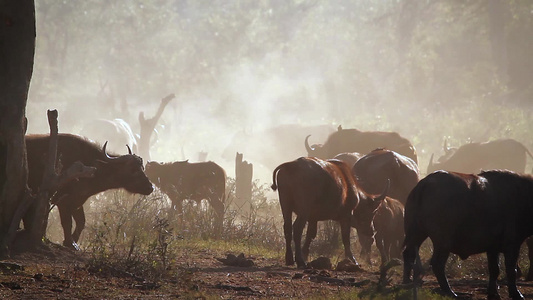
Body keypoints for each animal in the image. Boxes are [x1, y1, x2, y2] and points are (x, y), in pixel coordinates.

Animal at [25, 134, 154, 248]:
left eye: (142, 168)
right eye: (133, 169)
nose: (150, 187)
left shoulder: (77, 201)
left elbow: (81, 222)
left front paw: (73, 241)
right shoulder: (63, 202)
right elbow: (67, 222)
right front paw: (70, 243)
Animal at [402, 170, 532, 298]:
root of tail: (424, 184)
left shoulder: (493, 248)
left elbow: (494, 269)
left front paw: (493, 293)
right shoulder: (512, 245)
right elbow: (511, 270)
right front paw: (516, 293)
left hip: (417, 233)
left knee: (408, 254)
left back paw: (406, 283)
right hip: (443, 241)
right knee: (437, 263)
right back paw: (450, 292)